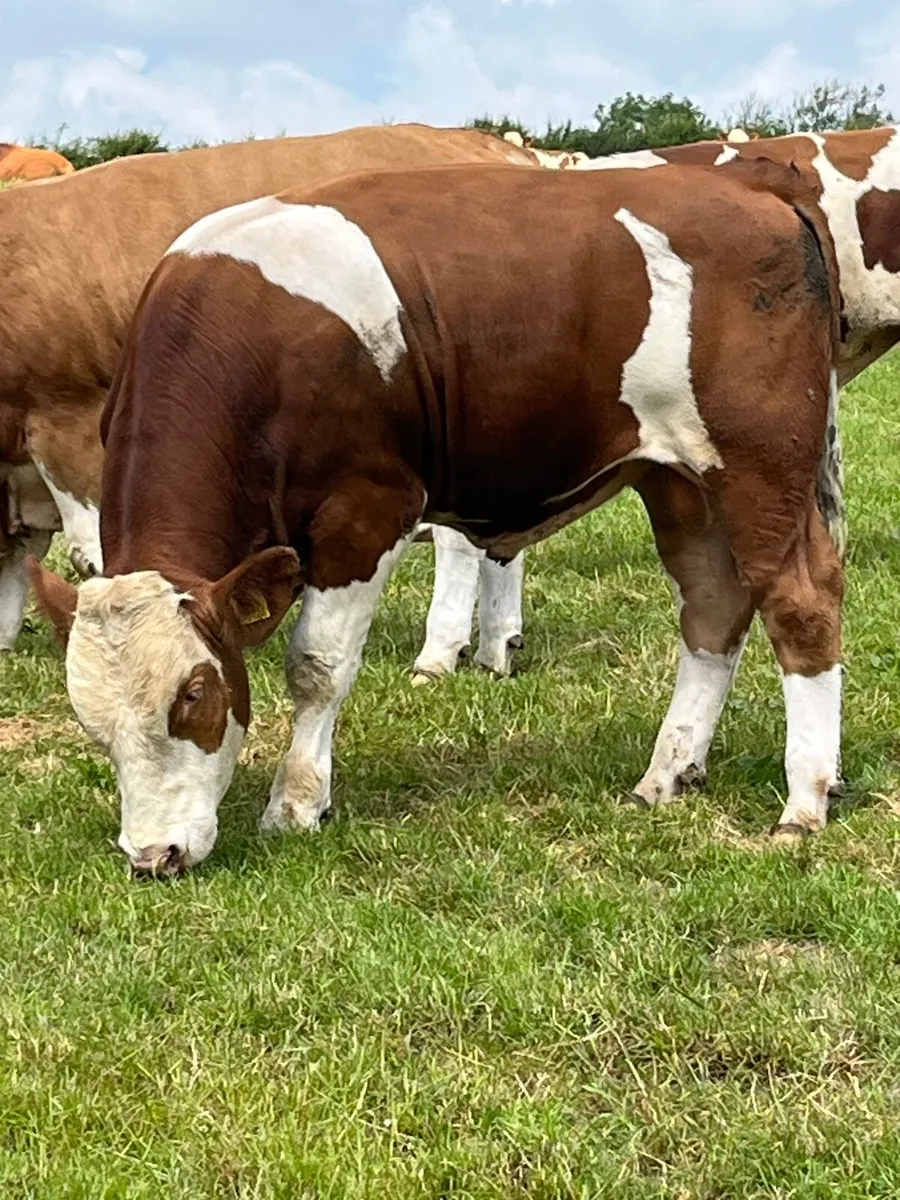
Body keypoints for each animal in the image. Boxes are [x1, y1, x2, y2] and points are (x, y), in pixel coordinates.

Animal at [28, 158, 844, 876]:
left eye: (194, 696)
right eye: (91, 724)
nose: (152, 855)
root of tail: (754, 184)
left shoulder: (366, 512)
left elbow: (316, 667)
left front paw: (297, 803)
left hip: (760, 466)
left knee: (801, 603)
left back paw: (803, 800)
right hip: (677, 480)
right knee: (712, 608)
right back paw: (668, 772)